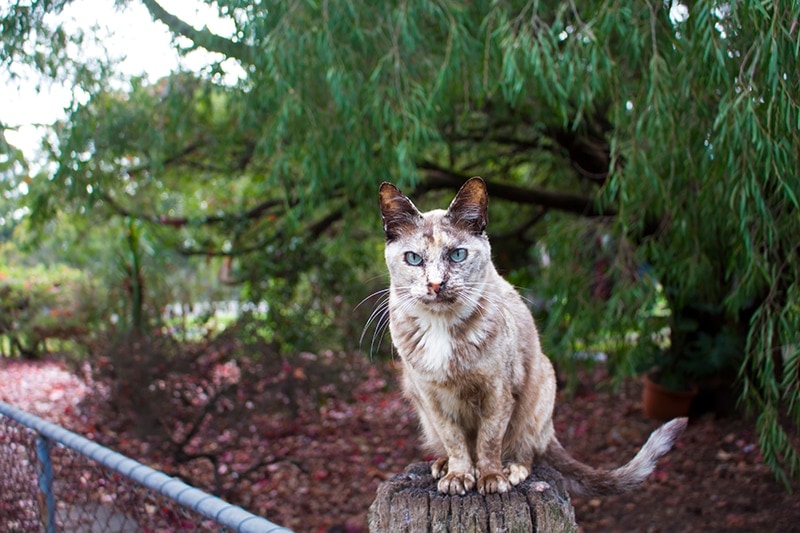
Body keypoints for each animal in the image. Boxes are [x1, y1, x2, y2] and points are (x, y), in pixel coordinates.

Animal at [378, 178, 684, 494]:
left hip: (541, 385)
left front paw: (491, 478)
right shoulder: (431, 397)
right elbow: (455, 440)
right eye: (414, 259)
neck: (442, 328)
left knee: (527, 450)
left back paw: (511, 470)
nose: (436, 284)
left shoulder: (498, 391)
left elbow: (489, 440)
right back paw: (442, 465)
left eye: (457, 254)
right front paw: (459, 476)